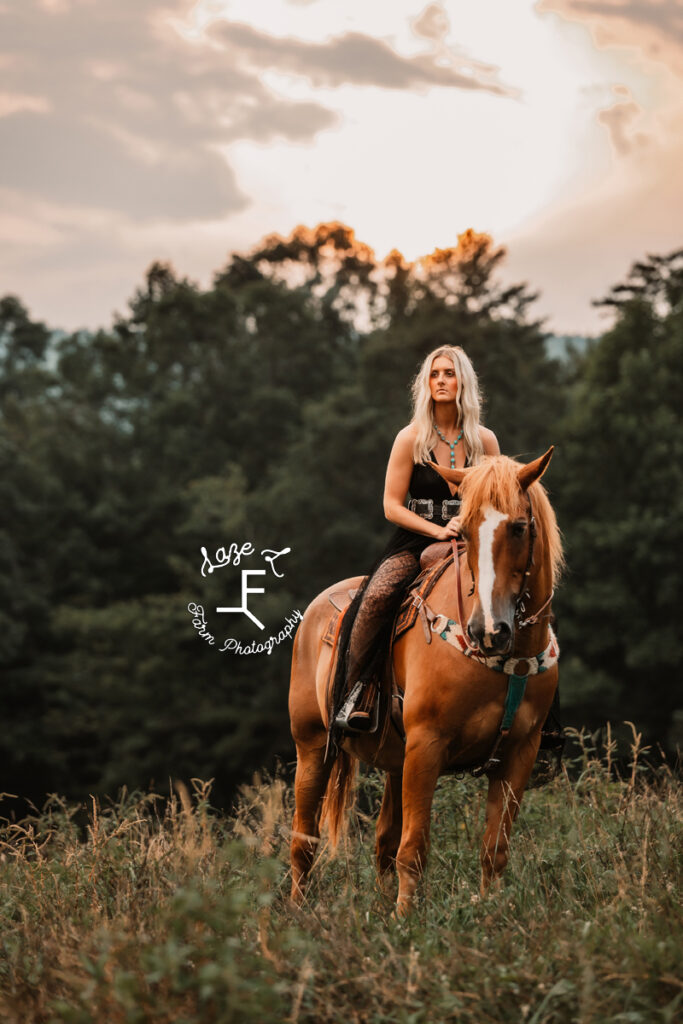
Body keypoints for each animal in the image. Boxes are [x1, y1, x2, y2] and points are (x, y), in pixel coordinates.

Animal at [286, 448, 561, 913]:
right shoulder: (427, 745)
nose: (488, 630)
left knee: (382, 843)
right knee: (304, 842)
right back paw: (298, 914)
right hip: (313, 747)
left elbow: (494, 851)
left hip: (395, 760)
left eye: (519, 527)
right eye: (464, 532)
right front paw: (406, 922)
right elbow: (413, 849)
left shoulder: (519, 753)